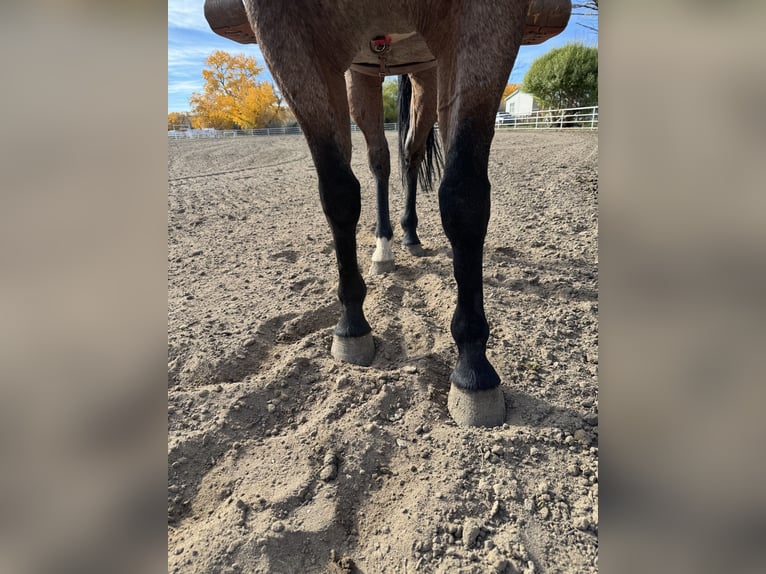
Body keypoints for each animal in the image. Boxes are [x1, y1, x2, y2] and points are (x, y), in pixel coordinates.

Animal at [204, 0, 571, 426]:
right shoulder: (289, 36)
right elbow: (339, 193)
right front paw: (351, 325)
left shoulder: (486, 24)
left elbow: (463, 198)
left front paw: (473, 369)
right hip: (362, 75)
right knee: (379, 158)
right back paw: (384, 246)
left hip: (427, 74)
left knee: (411, 153)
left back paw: (409, 234)